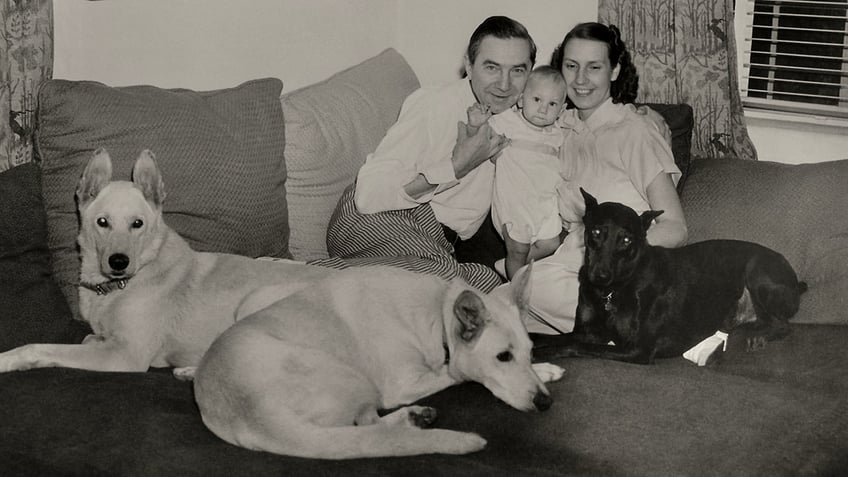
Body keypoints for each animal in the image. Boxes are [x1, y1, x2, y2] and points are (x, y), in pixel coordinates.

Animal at [192, 264, 564, 458]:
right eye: (503, 357)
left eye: (530, 351)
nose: (545, 403)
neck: (438, 314)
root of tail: (254, 415)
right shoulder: (403, 384)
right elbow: (460, 374)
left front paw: (545, 369)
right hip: (355, 379)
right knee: (366, 427)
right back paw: (411, 420)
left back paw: (415, 418)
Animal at [532, 188, 804, 362]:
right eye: (596, 232)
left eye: (627, 239)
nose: (600, 276)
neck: (615, 289)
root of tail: (796, 282)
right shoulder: (591, 330)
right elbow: (552, 337)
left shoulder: (637, 349)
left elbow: (574, 345)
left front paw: (536, 356)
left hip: (757, 272)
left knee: (784, 324)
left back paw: (760, 338)